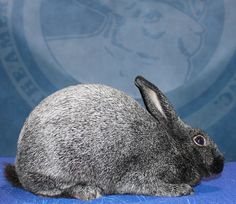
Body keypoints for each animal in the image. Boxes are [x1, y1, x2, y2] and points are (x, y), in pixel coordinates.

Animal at [4, 76, 224, 199]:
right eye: (199, 140)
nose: (221, 164)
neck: (175, 146)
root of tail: (20, 160)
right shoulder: (140, 173)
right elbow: (151, 186)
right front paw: (181, 189)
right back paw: (88, 191)